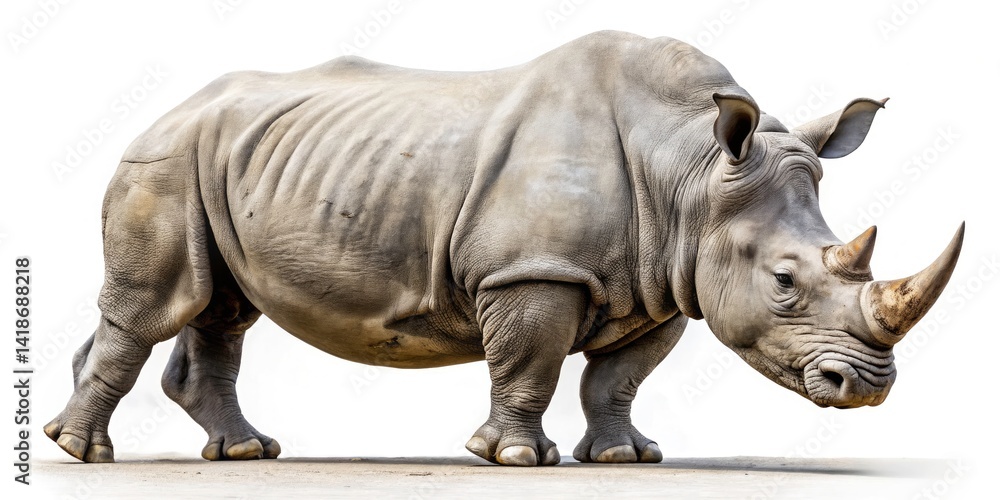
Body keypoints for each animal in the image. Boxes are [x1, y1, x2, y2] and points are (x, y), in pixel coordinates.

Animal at [46, 31, 964, 466]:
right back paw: (85, 455)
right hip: (167, 160)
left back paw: (242, 452)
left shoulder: (665, 279)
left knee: (221, 310)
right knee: (158, 306)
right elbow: (531, 363)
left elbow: (616, 378)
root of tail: (171, 109)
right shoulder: (535, 273)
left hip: (226, 158)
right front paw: (519, 458)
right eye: (783, 280)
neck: (693, 170)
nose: (868, 389)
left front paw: (626, 458)